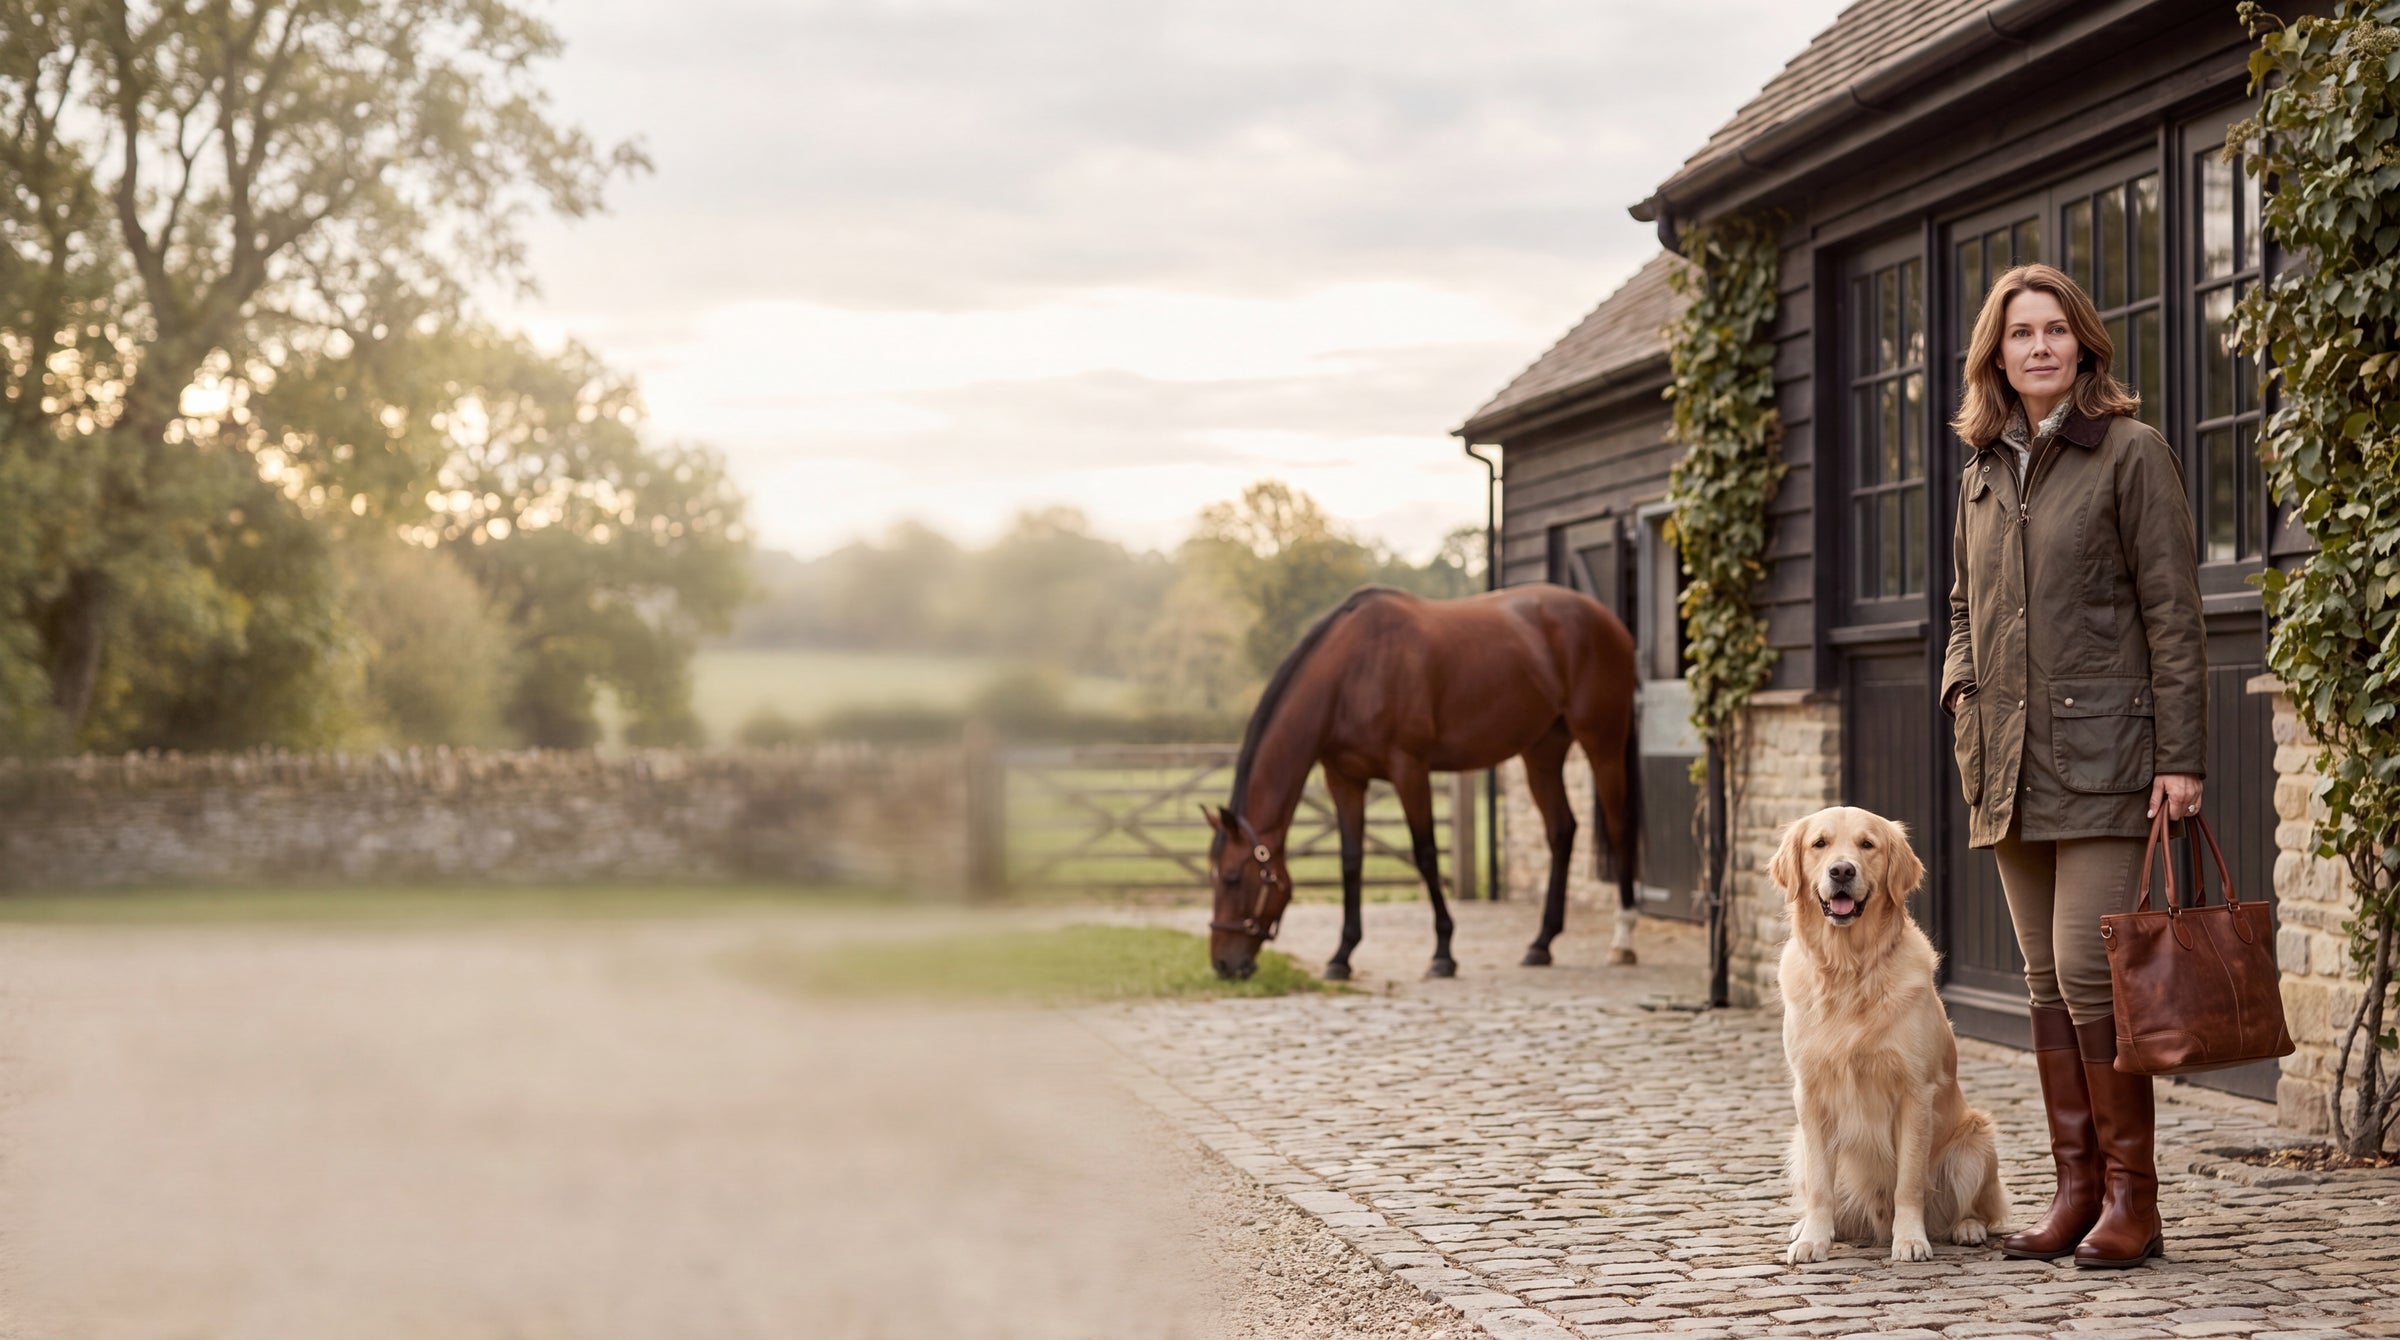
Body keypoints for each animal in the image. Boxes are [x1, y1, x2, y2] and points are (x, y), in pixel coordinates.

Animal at [1204, 583, 1642, 982]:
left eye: (1232, 878)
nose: (1223, 964)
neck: (1351, 675)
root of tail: (1612, 623)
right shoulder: (1344, 779)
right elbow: (1351, 861)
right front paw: (1341, 956)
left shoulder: (1409, 770)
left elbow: (1426, 854)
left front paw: (1443, 954)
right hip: (1542, 752)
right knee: (1561, 831)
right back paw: (1541, 944)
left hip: (1602, 742)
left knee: (1619, 827)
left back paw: (1622, 941)